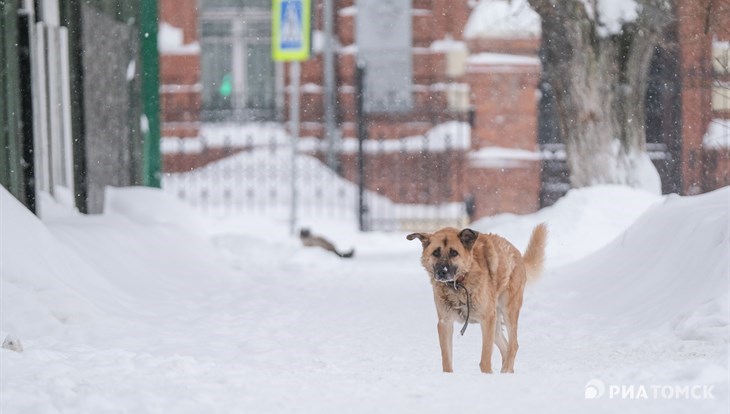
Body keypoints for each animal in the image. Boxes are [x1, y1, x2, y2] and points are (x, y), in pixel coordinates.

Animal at [406, 225, 544, 374]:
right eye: (436, 253)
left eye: (454, 253)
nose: (442, 272)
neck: (459, 283)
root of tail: (516, 252)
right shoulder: (445, 323)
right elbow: (446, 360)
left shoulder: (487, 320)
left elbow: (485, 359)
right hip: (495, 325)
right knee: (506, 347)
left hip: (508, 312)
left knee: (513, 345)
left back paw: (506, 370)